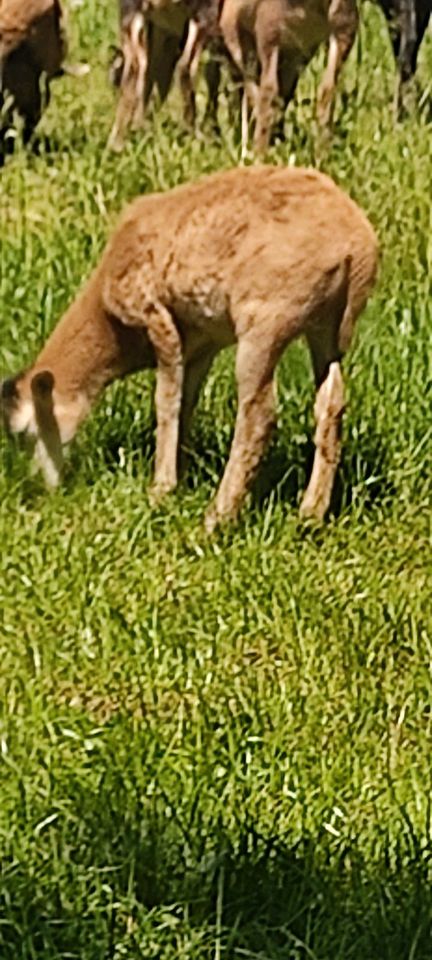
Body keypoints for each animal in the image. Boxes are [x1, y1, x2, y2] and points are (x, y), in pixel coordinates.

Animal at [0, 164, 378, 528]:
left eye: (23, 433)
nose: (41, 489)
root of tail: (353, 244)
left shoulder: (154, 316)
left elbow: (166, 402)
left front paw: (161, 490)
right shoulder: (201, 345)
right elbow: (185, 402)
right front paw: (178, 475)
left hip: (266, 323)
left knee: (259, 415)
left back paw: (218, 518)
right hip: (328, 331)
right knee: (331, 404)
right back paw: (310, 514)